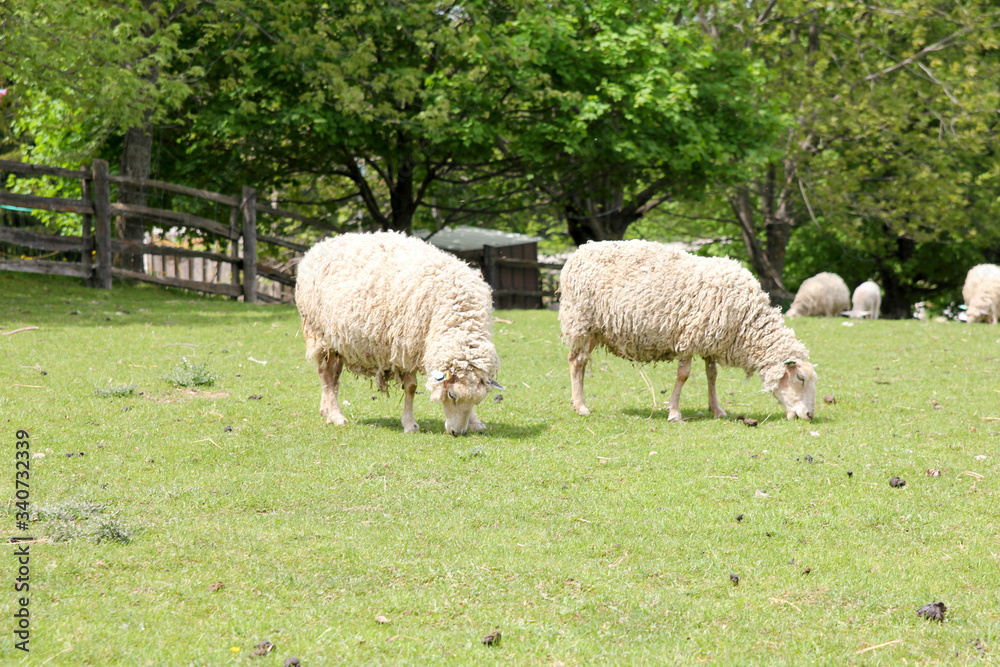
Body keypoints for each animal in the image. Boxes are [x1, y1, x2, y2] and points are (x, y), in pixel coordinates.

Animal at [294, 232, 500, 436]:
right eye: (451, 395)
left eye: (477, 401)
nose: (458, 433)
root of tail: (321, 244)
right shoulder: (404, 347)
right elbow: (411, 387)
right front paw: (409, 424)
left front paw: (475, 422)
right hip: (320, 334)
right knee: (326, 375)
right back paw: (336, 416)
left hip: (339, 341)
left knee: (333, 376)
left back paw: (326, 410)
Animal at [560, 243, 816, 422]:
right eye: (800, 378)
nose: (810, 415)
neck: (746, 320)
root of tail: (580, 251)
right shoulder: (688, 338)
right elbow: (683, 375)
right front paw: (674, 412)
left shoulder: (712, 340)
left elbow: (712, 375)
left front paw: (717, 409)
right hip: (580, 321)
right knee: (576, 361)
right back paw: (581, 406)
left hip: (595, 329)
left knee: (580, 361)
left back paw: (576, 402)